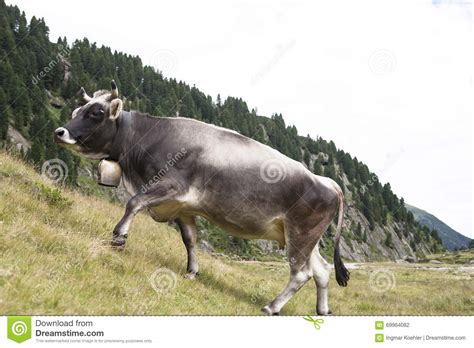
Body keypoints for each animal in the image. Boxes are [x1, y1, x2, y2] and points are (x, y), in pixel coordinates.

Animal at [54, 81, 348, 316]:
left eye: (96, 113)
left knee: (301, 274)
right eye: (75, 112)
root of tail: (327, 181)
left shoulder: (170, 185)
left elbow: (134, 202)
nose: (60, 132)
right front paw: (191, 271)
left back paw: (272, 306)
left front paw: (119, 237)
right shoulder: (184, 207)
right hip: (304, 237)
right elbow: (190, 240)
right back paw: (322, 310)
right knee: (322, 271)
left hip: (301, 234)